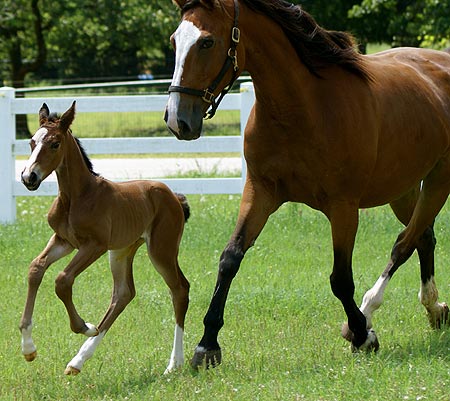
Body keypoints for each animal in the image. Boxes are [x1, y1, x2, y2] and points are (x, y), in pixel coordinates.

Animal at [19, 101, 190, 374]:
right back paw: (78, 360)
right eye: (32, 142)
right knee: (123, 294)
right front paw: (28, 348)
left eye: (55, 143)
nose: (29, 177)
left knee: (179, 290)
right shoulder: (63, 241)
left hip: (161, 249)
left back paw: (174, 364)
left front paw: (83, 326)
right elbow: (36, 269)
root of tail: (174, 196)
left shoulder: (94, 245)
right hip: (121, 251)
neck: (77, 196)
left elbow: (62, 280)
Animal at [164, 0, 450, 368]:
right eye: (175, 41)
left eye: (207, 42)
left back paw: (372, 310)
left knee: (404, 242)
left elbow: (340, 279)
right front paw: (206, 345)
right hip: (402, 187)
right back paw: (434, 308)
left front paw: (362, 334)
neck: (304, 108)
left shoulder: (343, 207)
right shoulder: (260, 192)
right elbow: (230, 258)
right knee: (423, 237)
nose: (177, 120)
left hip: (438, 180)